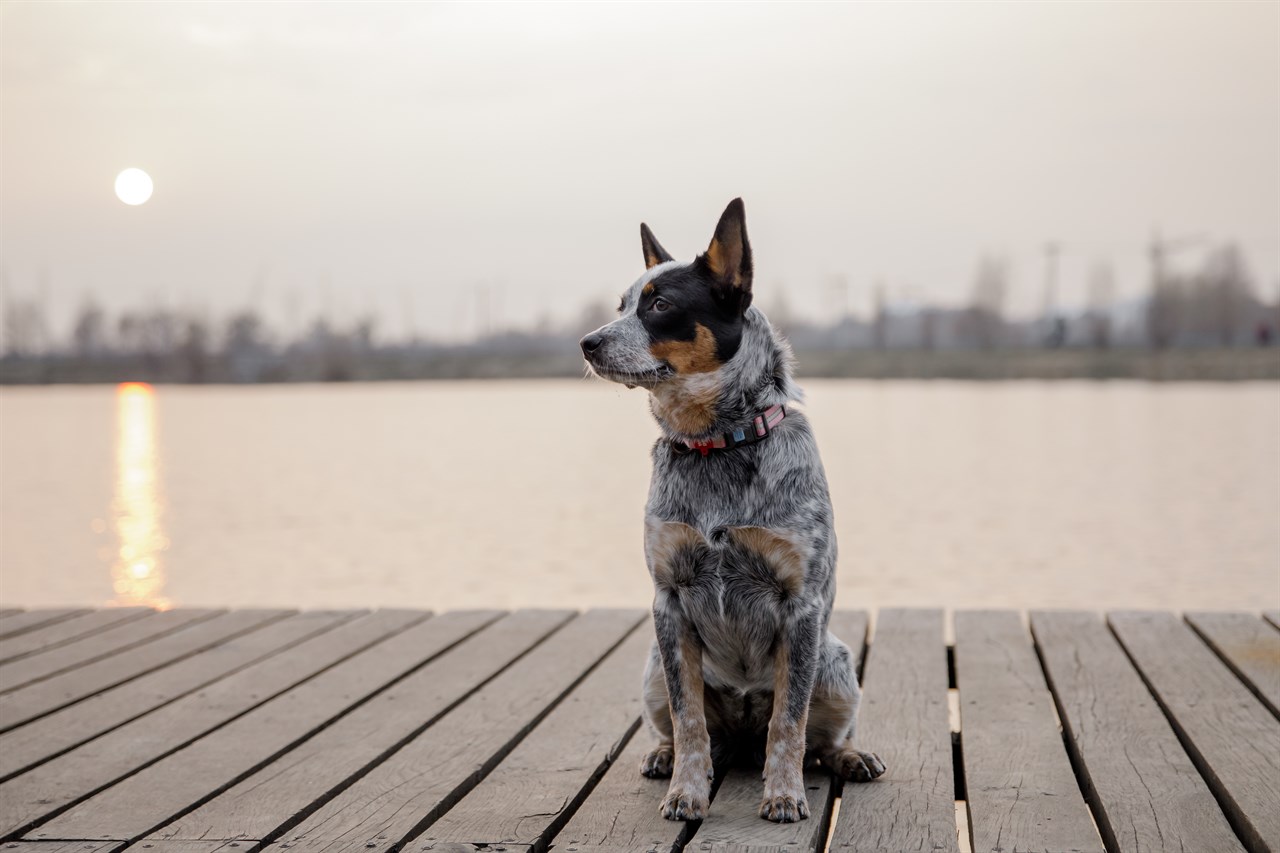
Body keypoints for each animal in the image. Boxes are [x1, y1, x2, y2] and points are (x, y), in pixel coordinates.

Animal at [578, 195, 880, 819]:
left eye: (660, 304)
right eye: (621, 305)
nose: (587, 342)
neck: (717, 442)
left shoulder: (801, 606)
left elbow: (789, 722)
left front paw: (784, 795)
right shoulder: (669, 602)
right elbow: (689, 718)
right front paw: (686, 793)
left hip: (837, 665)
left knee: (820, 737)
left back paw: (850, 757)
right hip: (651, 666)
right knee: (686, 728)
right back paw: (662, 755)